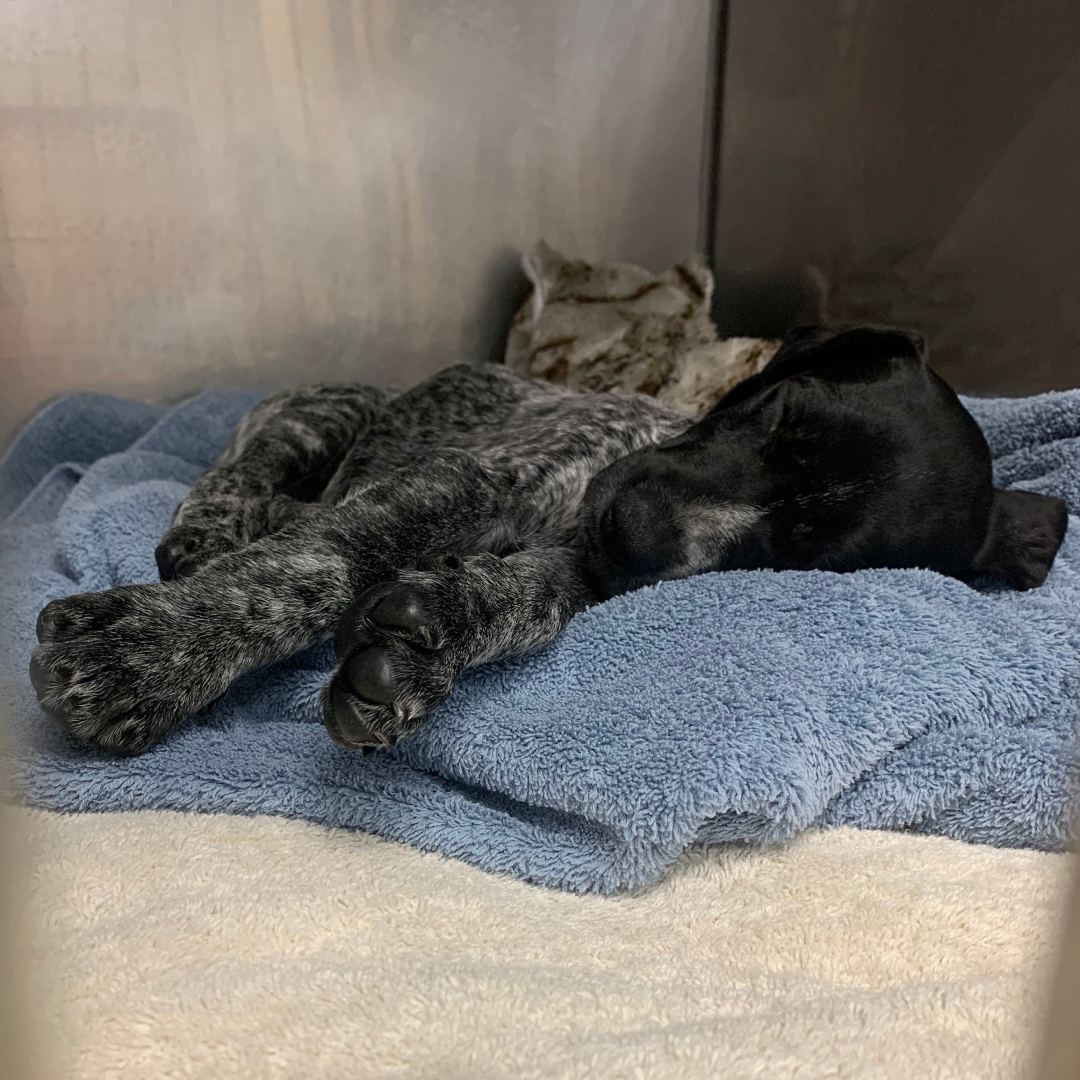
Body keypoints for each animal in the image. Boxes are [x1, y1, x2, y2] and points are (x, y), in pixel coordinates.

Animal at [29, 324, 1067, 756]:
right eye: (774, 415)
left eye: (799, 552)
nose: (637, 531)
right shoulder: (462, 481)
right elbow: (320, 564)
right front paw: (151, 655)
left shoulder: (576, 571)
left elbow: (521, 605)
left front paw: (424, 645)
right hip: (325, 414)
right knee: (241, 471)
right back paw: (212, 530)